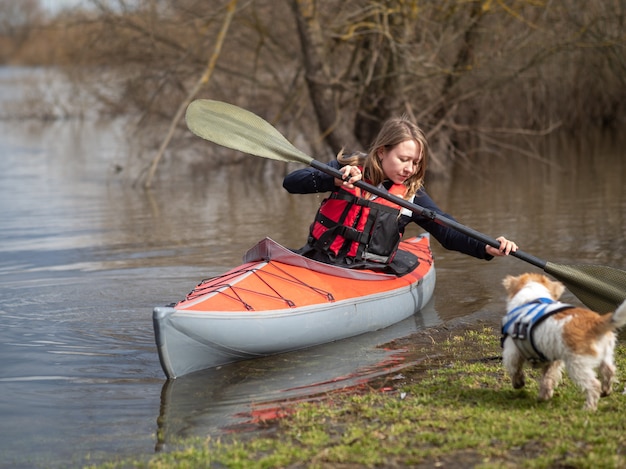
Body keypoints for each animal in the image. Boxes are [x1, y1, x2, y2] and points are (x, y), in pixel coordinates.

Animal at [500, 270, 624, 410]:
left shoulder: (512, 351)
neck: (533, 297)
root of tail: (595, 322)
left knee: (593, 384)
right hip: (606, 356)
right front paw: (544, 395)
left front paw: (518, 383)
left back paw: (588, 408)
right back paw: (605, 391)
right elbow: (548, 378)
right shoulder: (552, 360)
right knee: (609, 371)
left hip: (577, 364)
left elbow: (515, 368)